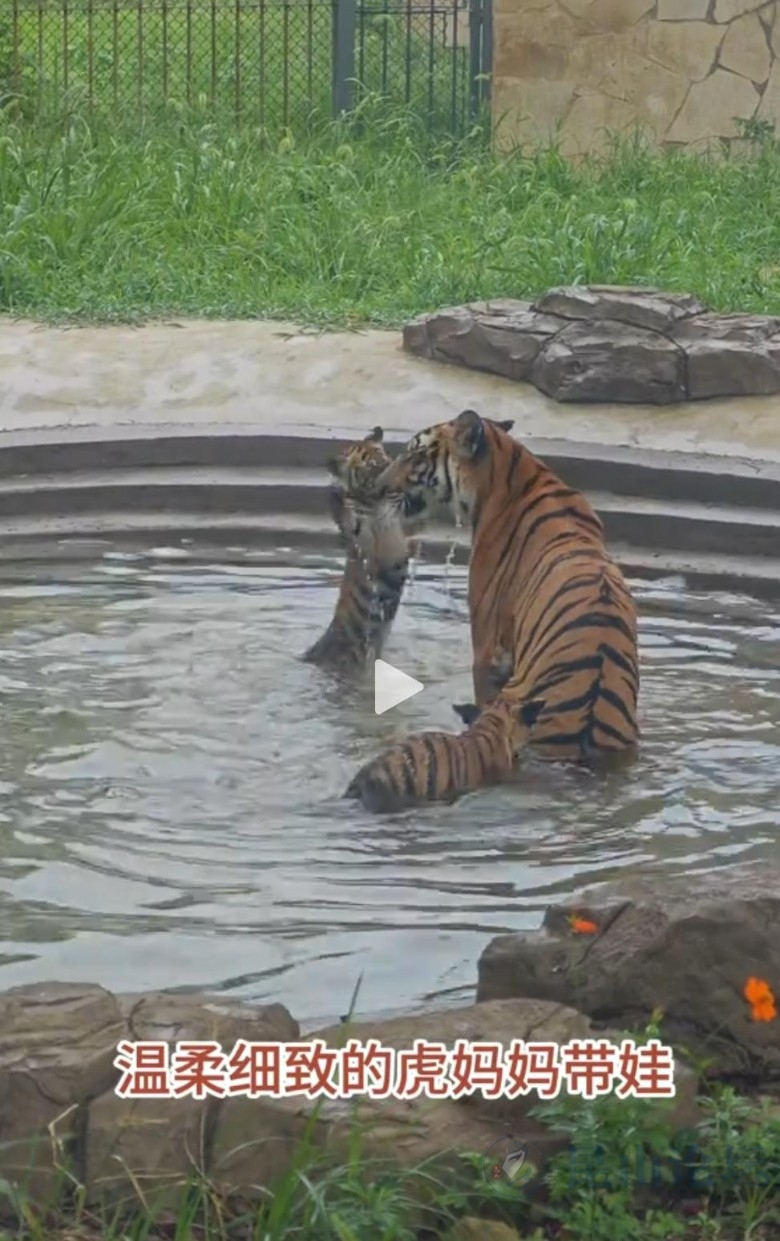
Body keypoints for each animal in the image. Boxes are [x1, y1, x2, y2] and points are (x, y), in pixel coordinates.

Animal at [302, 425, 423, 671]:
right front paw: (337, 497)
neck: (376, 503)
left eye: (386, 459)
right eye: (372, 467)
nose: (394, 478)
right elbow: (349, 522)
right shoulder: (362, 540)